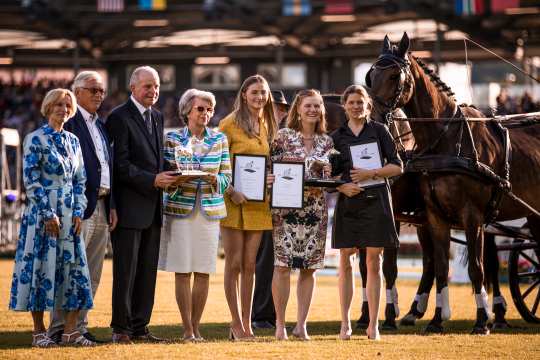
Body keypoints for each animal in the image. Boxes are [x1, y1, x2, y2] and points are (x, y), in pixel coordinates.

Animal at [364, 32, 540, 334]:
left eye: (395, 76)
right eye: (371, 75)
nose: (373, 121)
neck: (446, 140)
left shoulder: (472, 216)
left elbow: (476, 269)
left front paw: (481, 321)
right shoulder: (435, 216)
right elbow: (441, 267)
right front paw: (435, 319)